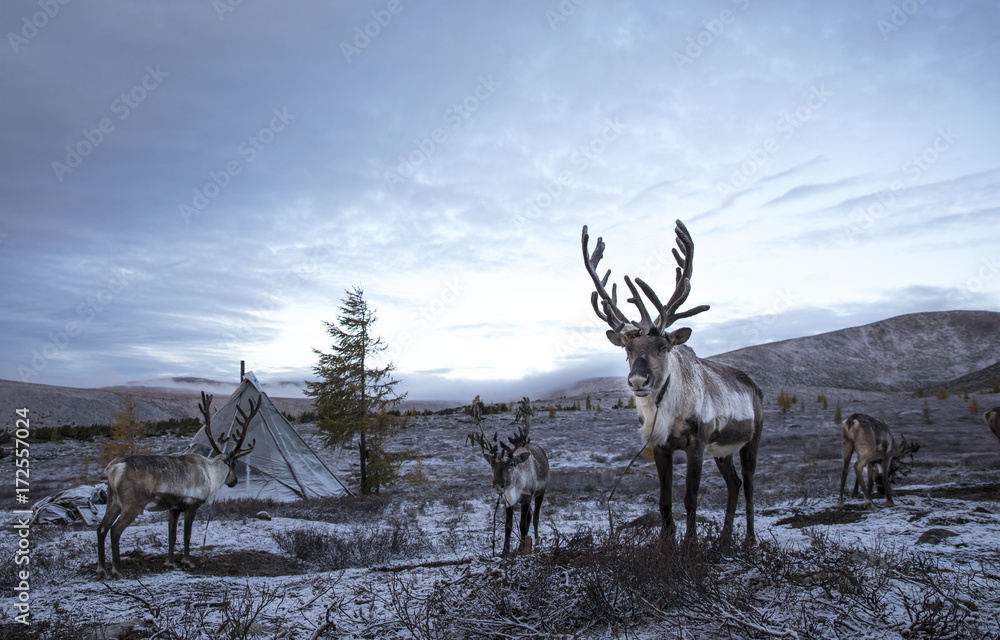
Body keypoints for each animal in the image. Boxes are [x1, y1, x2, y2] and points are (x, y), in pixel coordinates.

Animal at [97, 391, 258, 579]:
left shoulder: (173, 508)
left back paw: (102, 569)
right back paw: (118, 570)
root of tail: (114, 468)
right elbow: (187, 535)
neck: (211, 473)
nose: (235, 481)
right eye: (234, 463)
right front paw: (188, 561)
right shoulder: (192, 504)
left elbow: (172, 536)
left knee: (101, 528)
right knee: (115, 530)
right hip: (132, 505)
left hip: (113, 501)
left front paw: (170, 562)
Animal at [468, 404, 549, 556]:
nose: (498, 485)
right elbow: (508, 526)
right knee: (530, 516)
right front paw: (505, 552)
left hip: (541, 492)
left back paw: (535, 541)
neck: (514, 488)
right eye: (492, 465)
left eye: (511, 464)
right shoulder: (508, 502)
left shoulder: (527, 498)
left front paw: (523, 548)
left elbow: (523, 524)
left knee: (535, 517)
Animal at [582, 220, 764, 547]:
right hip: (723, 450)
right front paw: (666, 546)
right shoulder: (661, 445)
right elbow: (664, 501)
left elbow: (690, 498)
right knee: (735, 483)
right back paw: (725, 538)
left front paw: (690, 545)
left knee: (750, 484)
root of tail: (755, 387)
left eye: (663, 348)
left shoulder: (697, 443)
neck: (666, 412)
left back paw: (749, 539)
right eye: (627, 350)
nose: (638, 380)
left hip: (751, 439)